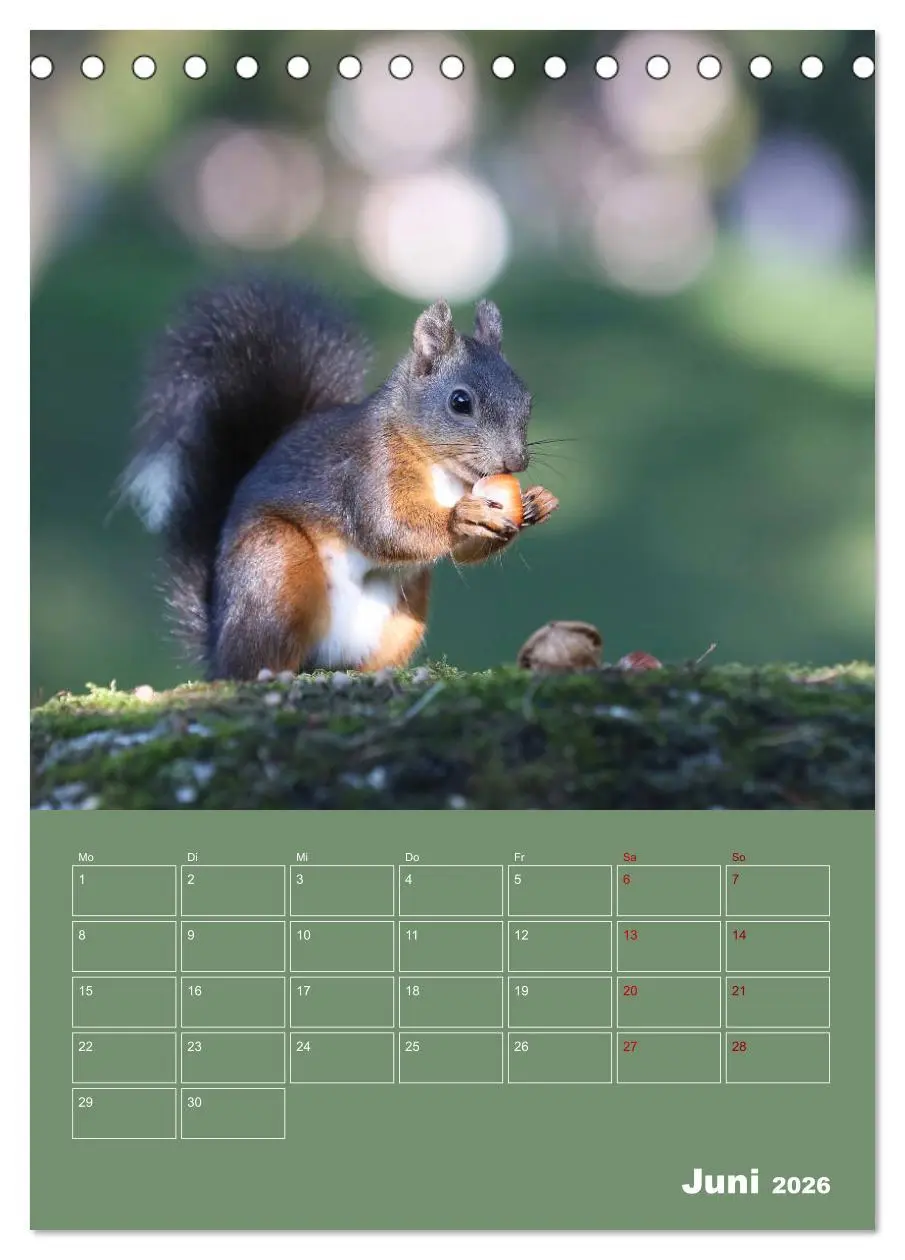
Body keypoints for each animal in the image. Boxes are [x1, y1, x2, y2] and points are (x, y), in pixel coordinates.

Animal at [121, 275, 559, 680]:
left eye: (526, 400)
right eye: (460, 401)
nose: (516, 461)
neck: (444, 471)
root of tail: (217, 644)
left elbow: (465, 553)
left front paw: (537, 503)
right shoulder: (367, 469)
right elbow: (386, 527)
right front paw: (462, 516)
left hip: (406, 609)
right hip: (274, 565)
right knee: (255, 659)